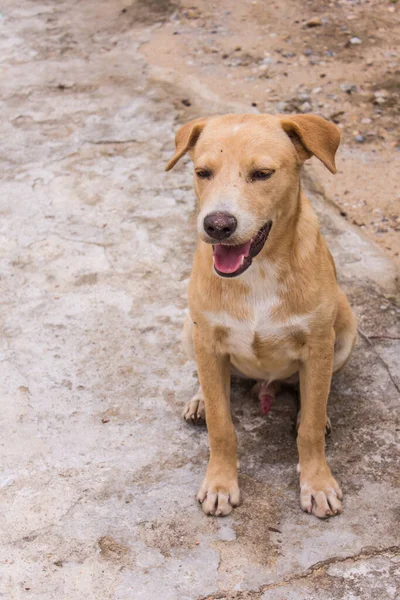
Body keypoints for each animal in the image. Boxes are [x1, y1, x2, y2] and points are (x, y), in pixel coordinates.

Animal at [165, 113, 356, 520]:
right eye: (202, 172)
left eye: (263, 174)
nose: (217, 225)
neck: (258, 270)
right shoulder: (207, 340)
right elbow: (221, 426)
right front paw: (221, 484)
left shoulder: (319, 343)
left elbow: (309, 429)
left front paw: (317, 483)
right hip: (189, 331)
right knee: (212, 383)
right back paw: (200, 400)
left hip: (346, 329)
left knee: (313, 394)